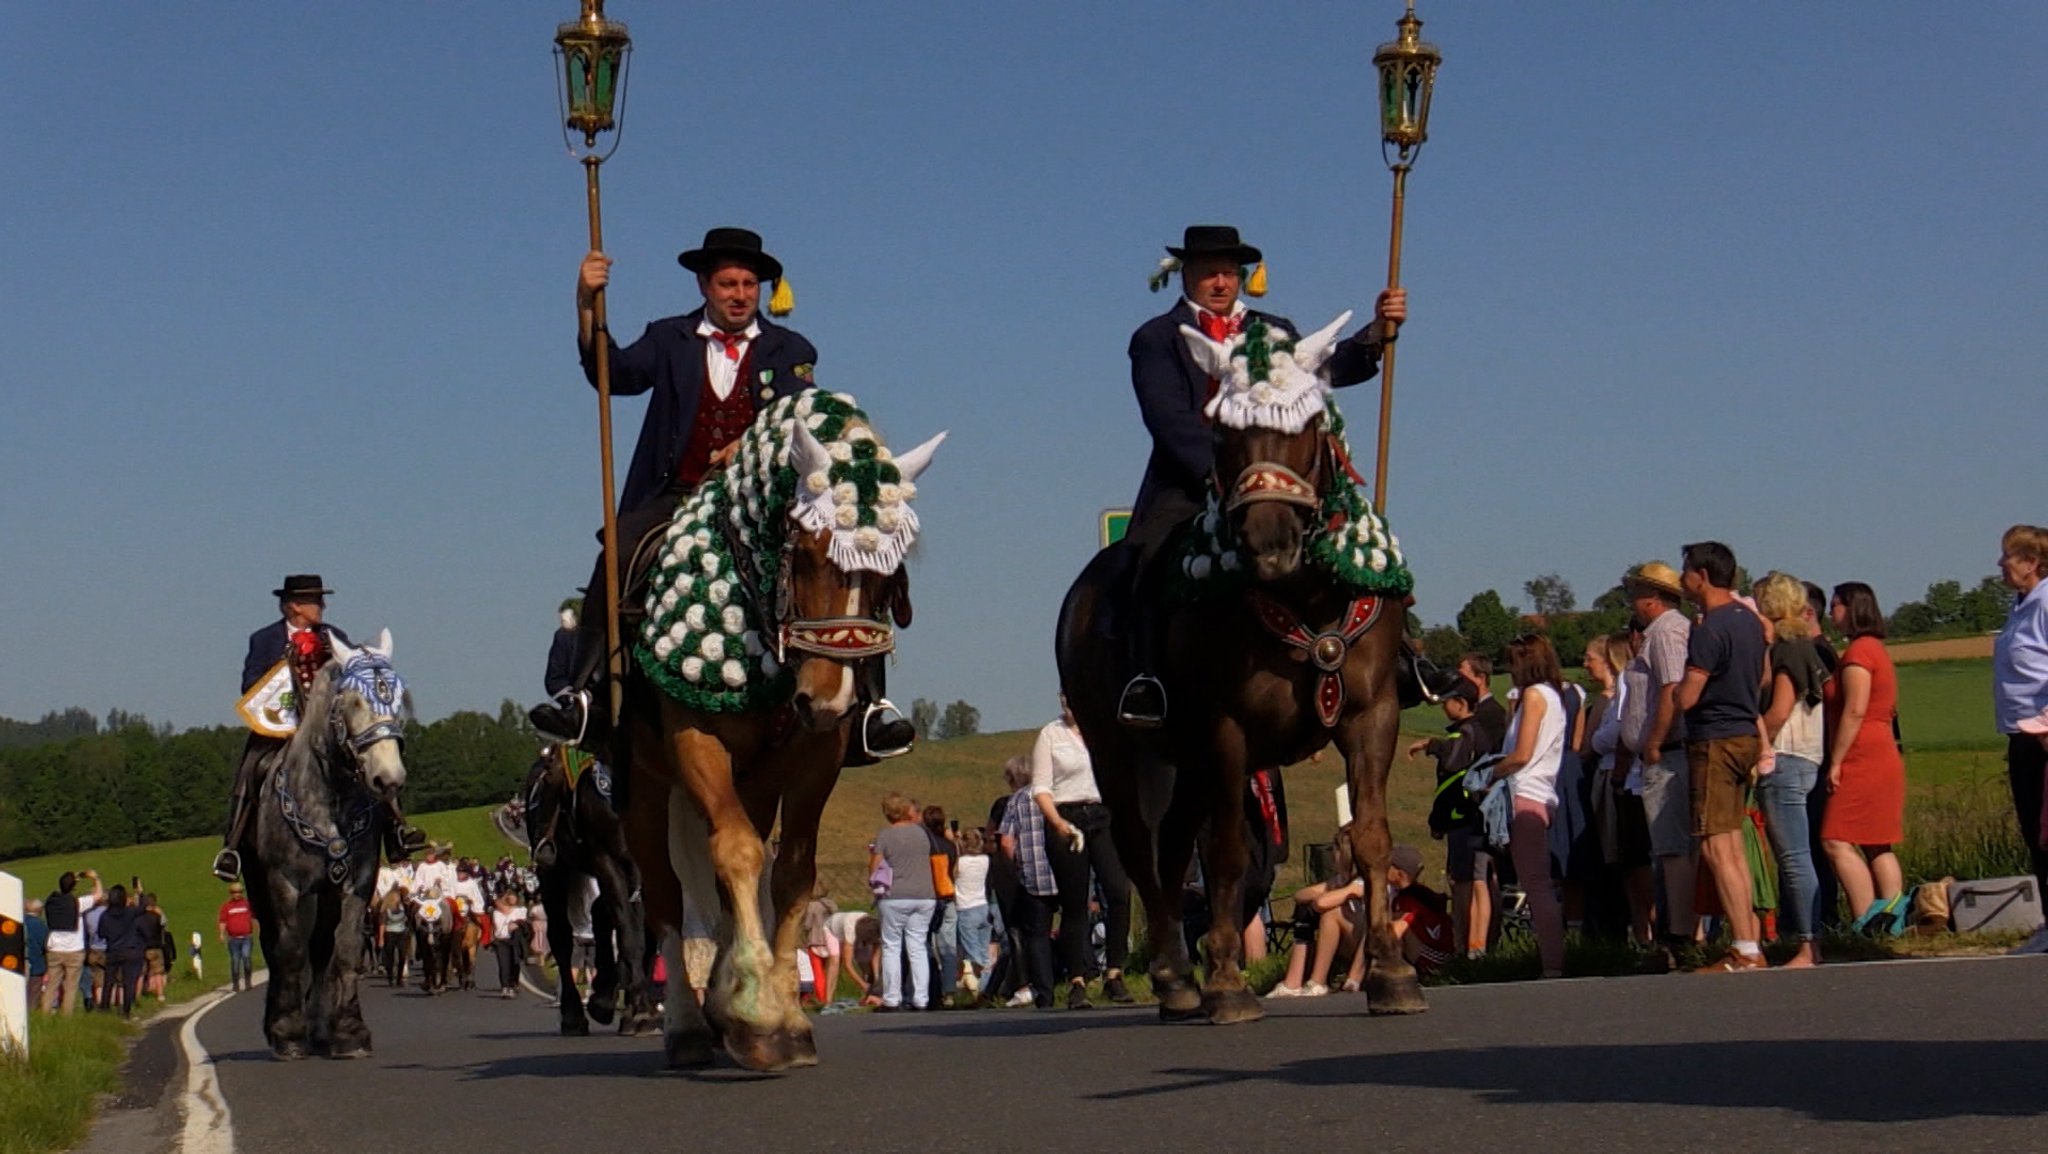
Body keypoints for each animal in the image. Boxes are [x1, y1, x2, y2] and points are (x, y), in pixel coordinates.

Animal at [237, 631, 409, 1057]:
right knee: (278, 946)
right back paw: (282, 1025)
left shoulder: (355, 883)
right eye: (354, 701)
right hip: (262, 886)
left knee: (319, 950)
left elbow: (343, 950)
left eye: (398, 697)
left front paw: (348, 1031)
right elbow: (290, 951)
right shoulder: (285, 884)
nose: (389, 778)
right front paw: (287, 1033)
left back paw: (319, 1027)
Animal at [524, 750, 659, 1037]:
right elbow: (631, 934)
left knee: (600, 914)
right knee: (561, 938)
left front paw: (626, 1008)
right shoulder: (609, 859)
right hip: (554, 872)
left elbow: (643, 938)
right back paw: (573, 1015)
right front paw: (640, 1010)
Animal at [610, 391, 937, 1074]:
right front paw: (759, 1014)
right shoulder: (696, 743)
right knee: (665, 893)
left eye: (889, 570)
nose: (827, 698)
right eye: (806, 550)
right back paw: (687, 1026)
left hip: (755, 781)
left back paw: (720, 1004)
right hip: (646, 789)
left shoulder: (815, 755)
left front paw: (775, 1014)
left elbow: (789, 872)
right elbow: (733, 854)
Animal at [1056, 311, 1425, 1024]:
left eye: (1307, 425)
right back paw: (1177, 976)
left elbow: (1370, 836)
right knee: (1142, 851)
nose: (1268, 544)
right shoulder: (1227, 730)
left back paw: (1177, 976)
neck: (1306, 595)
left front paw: (1392, 975)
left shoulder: (1373, 717)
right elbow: (1226, 853)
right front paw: (1227, 984)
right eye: (1223, 433)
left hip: (1186, 766)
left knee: (1172, 847)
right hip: (1120, 752)